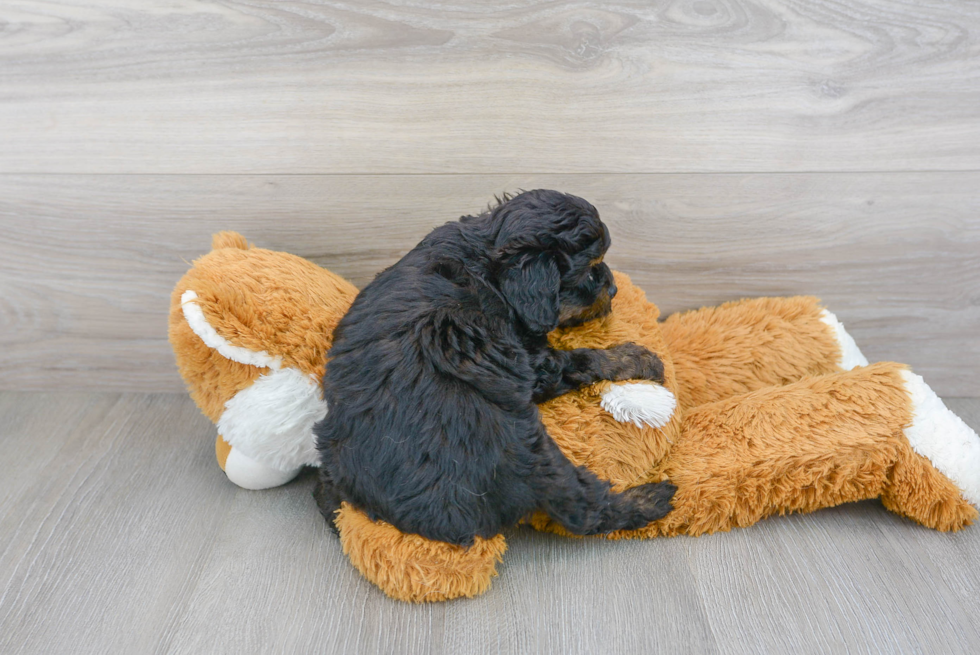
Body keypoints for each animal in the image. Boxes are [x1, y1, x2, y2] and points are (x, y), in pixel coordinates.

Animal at [314, 191, 672, 548]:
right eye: (590, 270)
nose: (613, 289)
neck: (487, 264)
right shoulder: (533, 364)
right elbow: (581, 359)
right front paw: (638, 358)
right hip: (534, 451)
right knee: (584, 510)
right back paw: (653, 499)